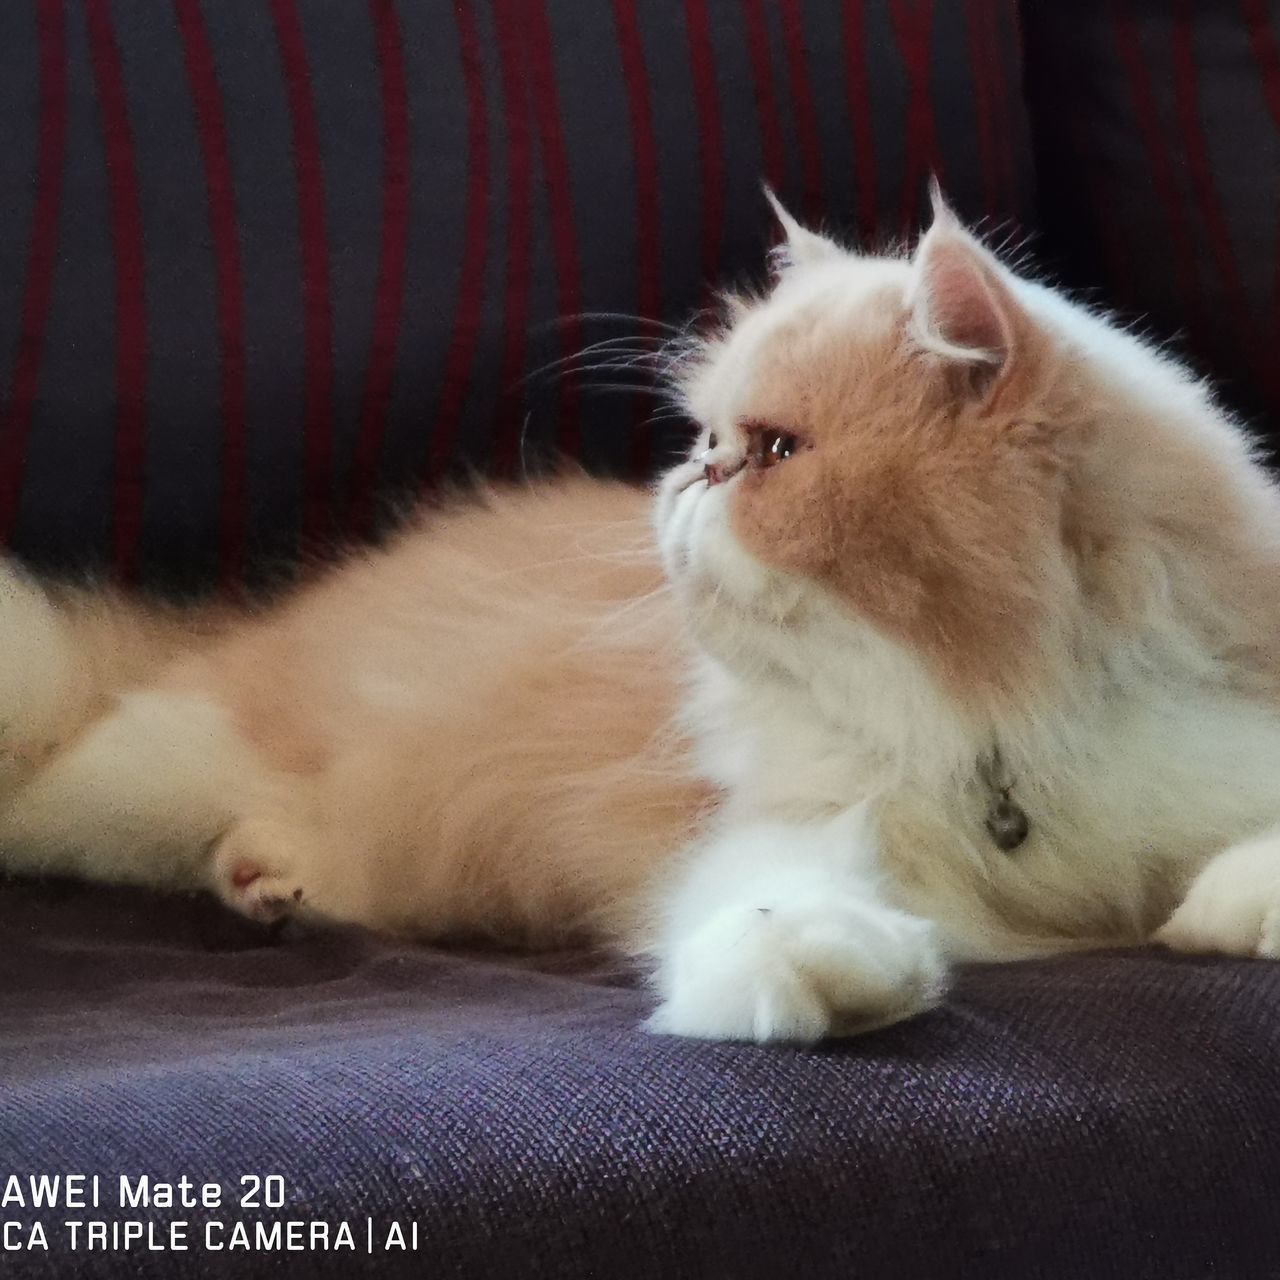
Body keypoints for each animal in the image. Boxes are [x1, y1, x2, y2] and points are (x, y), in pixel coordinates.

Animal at [2, 189, 1280, 1044]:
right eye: (705, 439)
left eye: (772, 452)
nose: (691, 477)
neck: (999, 720)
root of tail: (236, 634)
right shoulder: (789, 820)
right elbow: (771, 899)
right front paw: (829, 974)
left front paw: (1225, 910)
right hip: (142, 765)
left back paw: (270, 882)